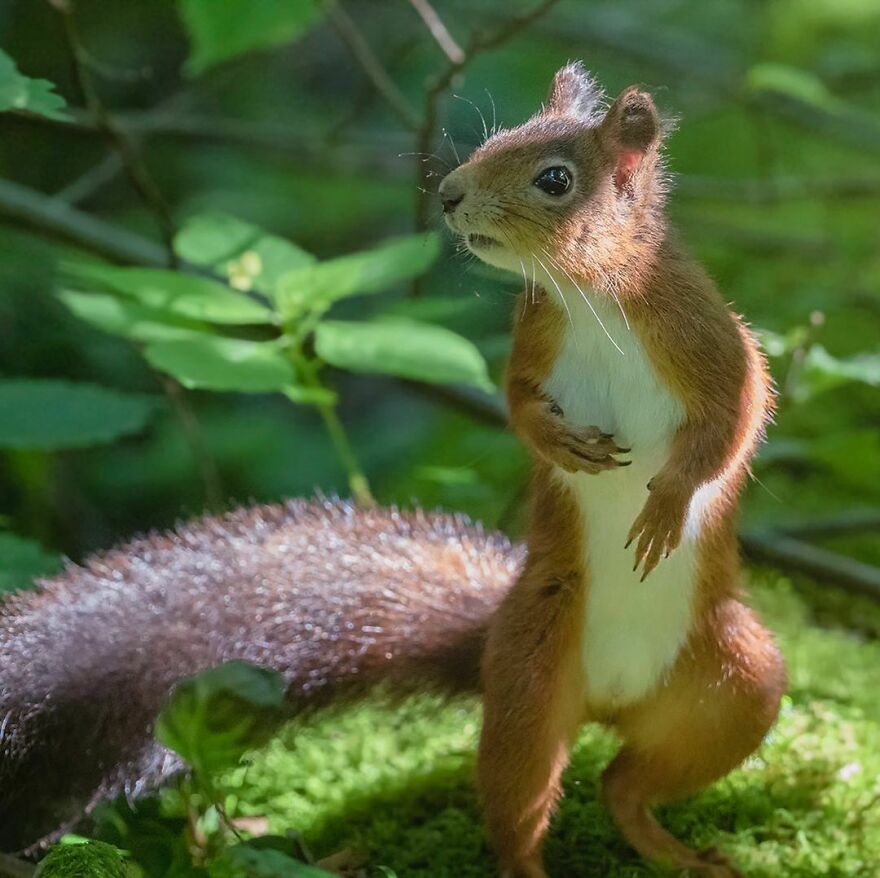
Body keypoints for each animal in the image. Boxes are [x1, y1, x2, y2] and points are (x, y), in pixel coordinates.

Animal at [0, 63, 786, 877]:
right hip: (530, 677)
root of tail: (611, 701)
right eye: (494, 140)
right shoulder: (534, 337)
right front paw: (557, 442)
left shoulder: (709, 338)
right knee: (527, 796)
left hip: (735, 688)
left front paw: (666, 504)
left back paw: (673, 848)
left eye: (555, 179)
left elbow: (737, 421)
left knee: (628, 781)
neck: (589, 295)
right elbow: (515, 404)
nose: (450, 194)